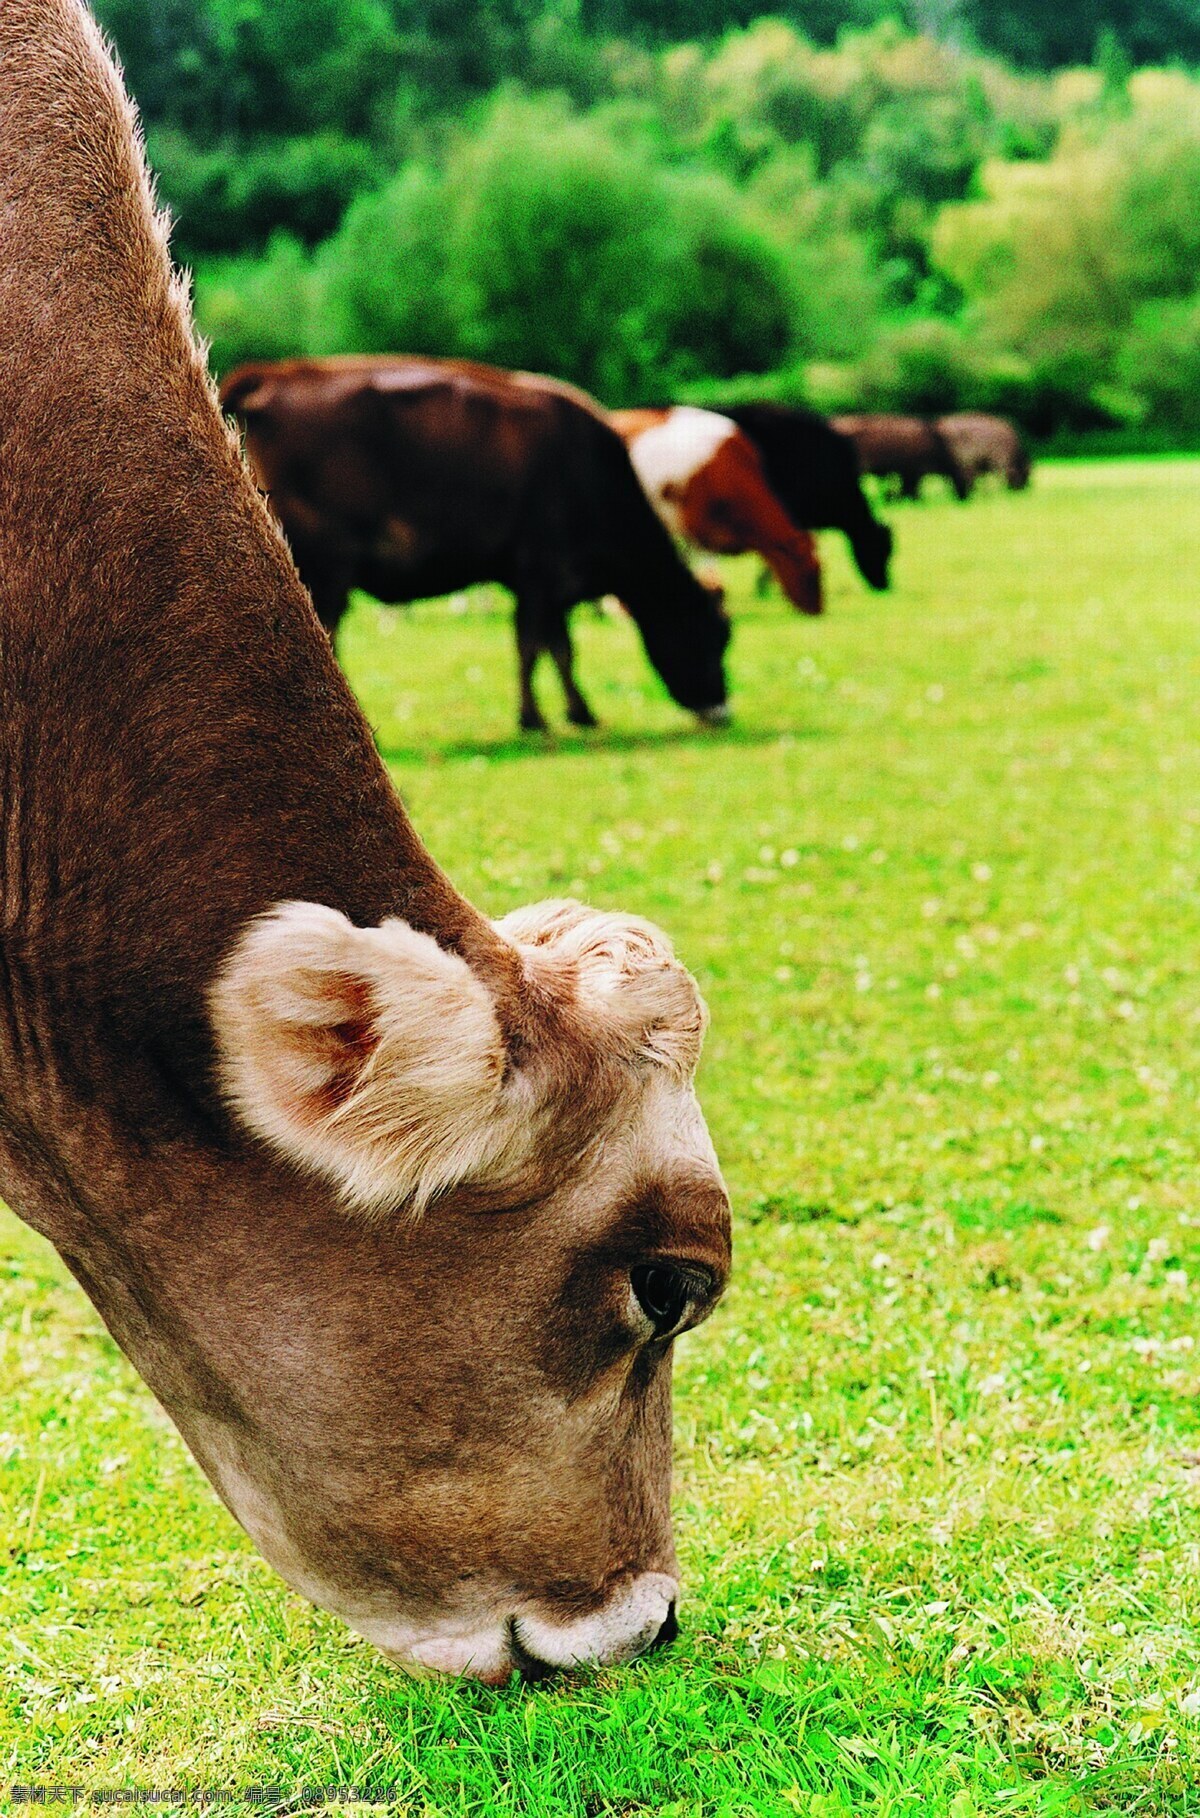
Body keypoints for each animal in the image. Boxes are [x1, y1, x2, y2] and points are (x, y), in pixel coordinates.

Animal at [222, 354, 730, 730]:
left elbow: (559, 649)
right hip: (326, 567)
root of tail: (275, 372)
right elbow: (534, 648)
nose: (722, 709)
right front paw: (535, 718)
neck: (589, 472)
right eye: (713, 635)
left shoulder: (548, 586)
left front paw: (576, 712)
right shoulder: (539, 573)